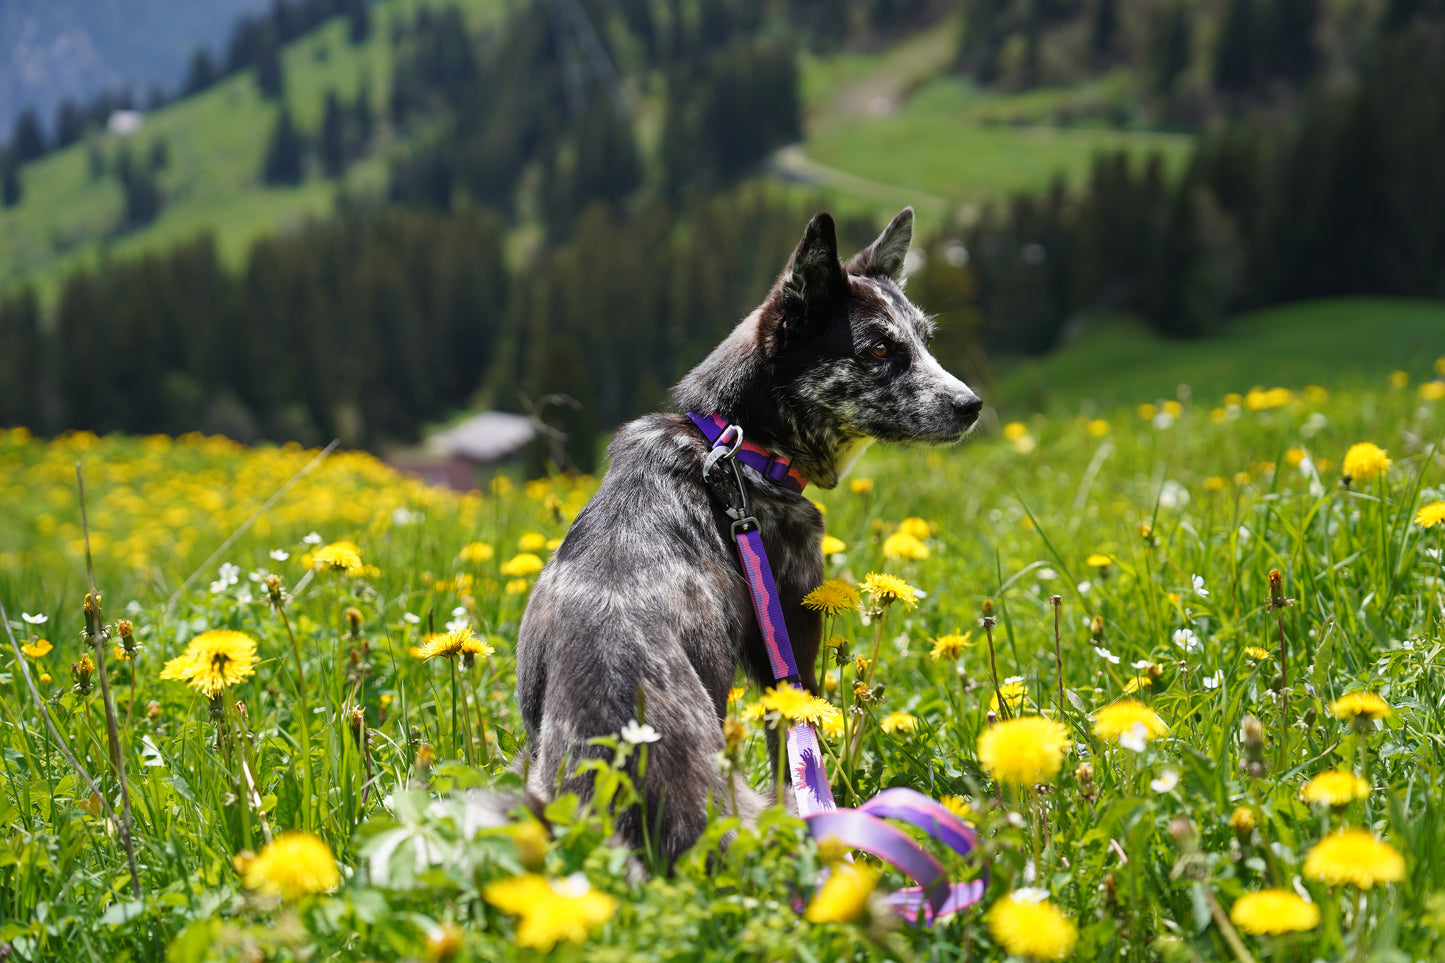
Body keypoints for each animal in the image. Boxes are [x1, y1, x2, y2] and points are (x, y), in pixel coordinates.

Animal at [511, 206, 982, 856]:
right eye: (881, 348)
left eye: (924, 341)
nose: (972, 405)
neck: (738, 446)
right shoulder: (791, 636)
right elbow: (796, 750)